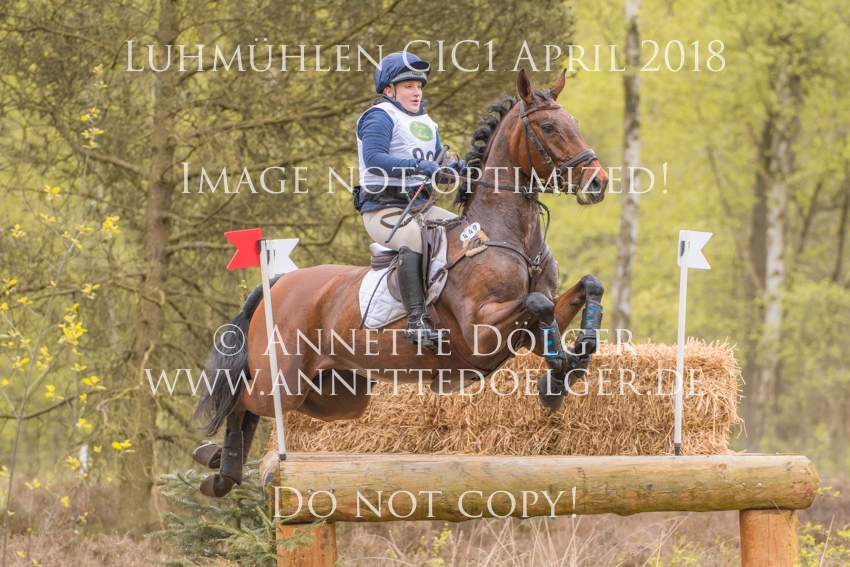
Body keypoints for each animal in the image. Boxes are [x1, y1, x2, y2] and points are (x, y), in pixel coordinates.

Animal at [192, 69, 610, 497]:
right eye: (548, 127)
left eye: (574, 123)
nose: (598, 182)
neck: (508, 236)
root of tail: (277, 283)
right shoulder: (480, 331)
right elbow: (538, 305)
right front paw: (560, 374)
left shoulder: (528, 329)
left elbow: (585, 289)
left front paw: (570, 365)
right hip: (282, 380)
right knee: (242, 400)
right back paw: (219, 468)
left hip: (337, 394)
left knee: (268, 408)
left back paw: (220, 464)